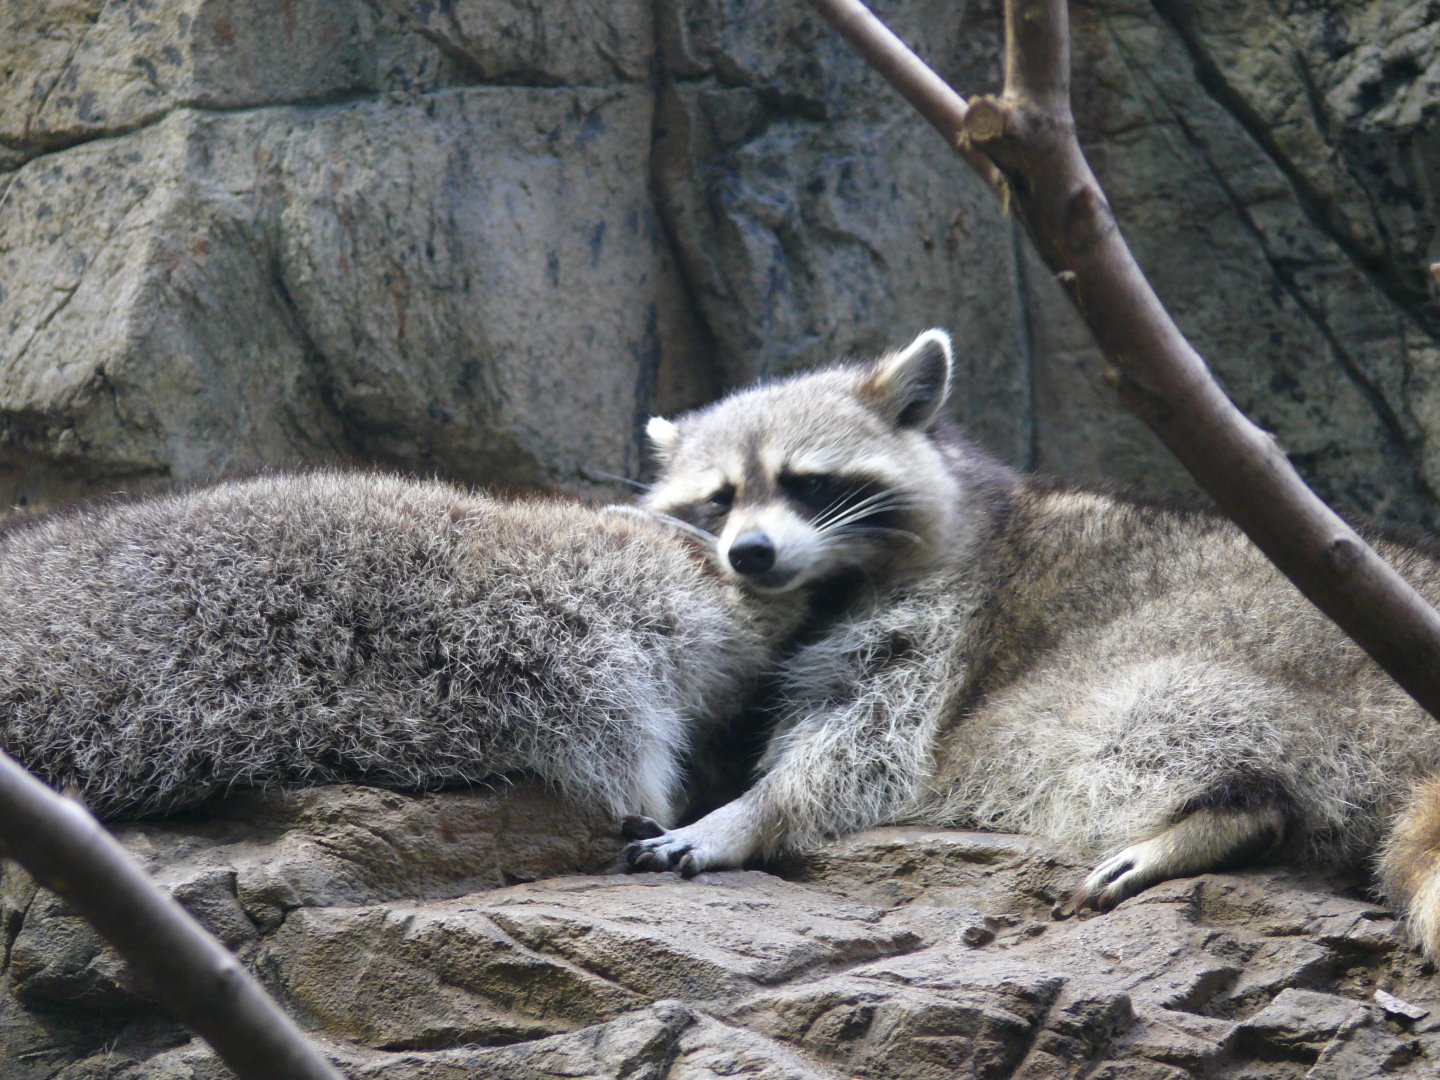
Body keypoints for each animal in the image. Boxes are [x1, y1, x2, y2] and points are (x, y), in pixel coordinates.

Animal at [623, 328, 1440, 962]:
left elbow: (868, 749)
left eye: (808, 483)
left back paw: (1232, 810)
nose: (749, 555)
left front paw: (748, 814)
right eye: (721, 498)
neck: (831, 581)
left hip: (1279, 672)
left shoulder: (946, 618)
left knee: (1141, 726)